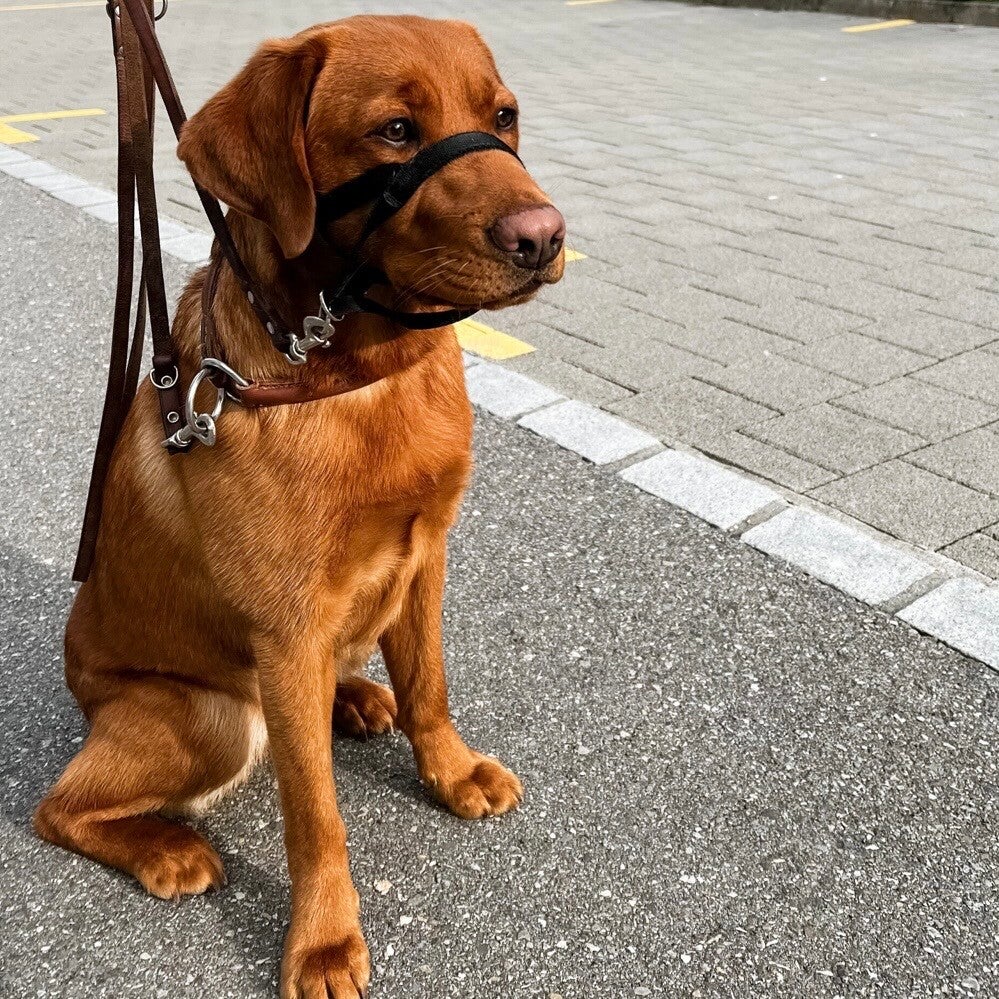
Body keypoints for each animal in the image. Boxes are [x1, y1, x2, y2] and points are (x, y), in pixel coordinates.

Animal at [34, 14, 564, 998]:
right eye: (394, 129)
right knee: (59, 805)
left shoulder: (425, 552)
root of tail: (80, 679)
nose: (544, 237)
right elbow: (315, 811)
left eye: (503, 115)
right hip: (208, 718)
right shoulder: (284, 629)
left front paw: (448, 770)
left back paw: (352, 695)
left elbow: (429, 684)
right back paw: (166, 848)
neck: (360, 372)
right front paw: (321, 939)